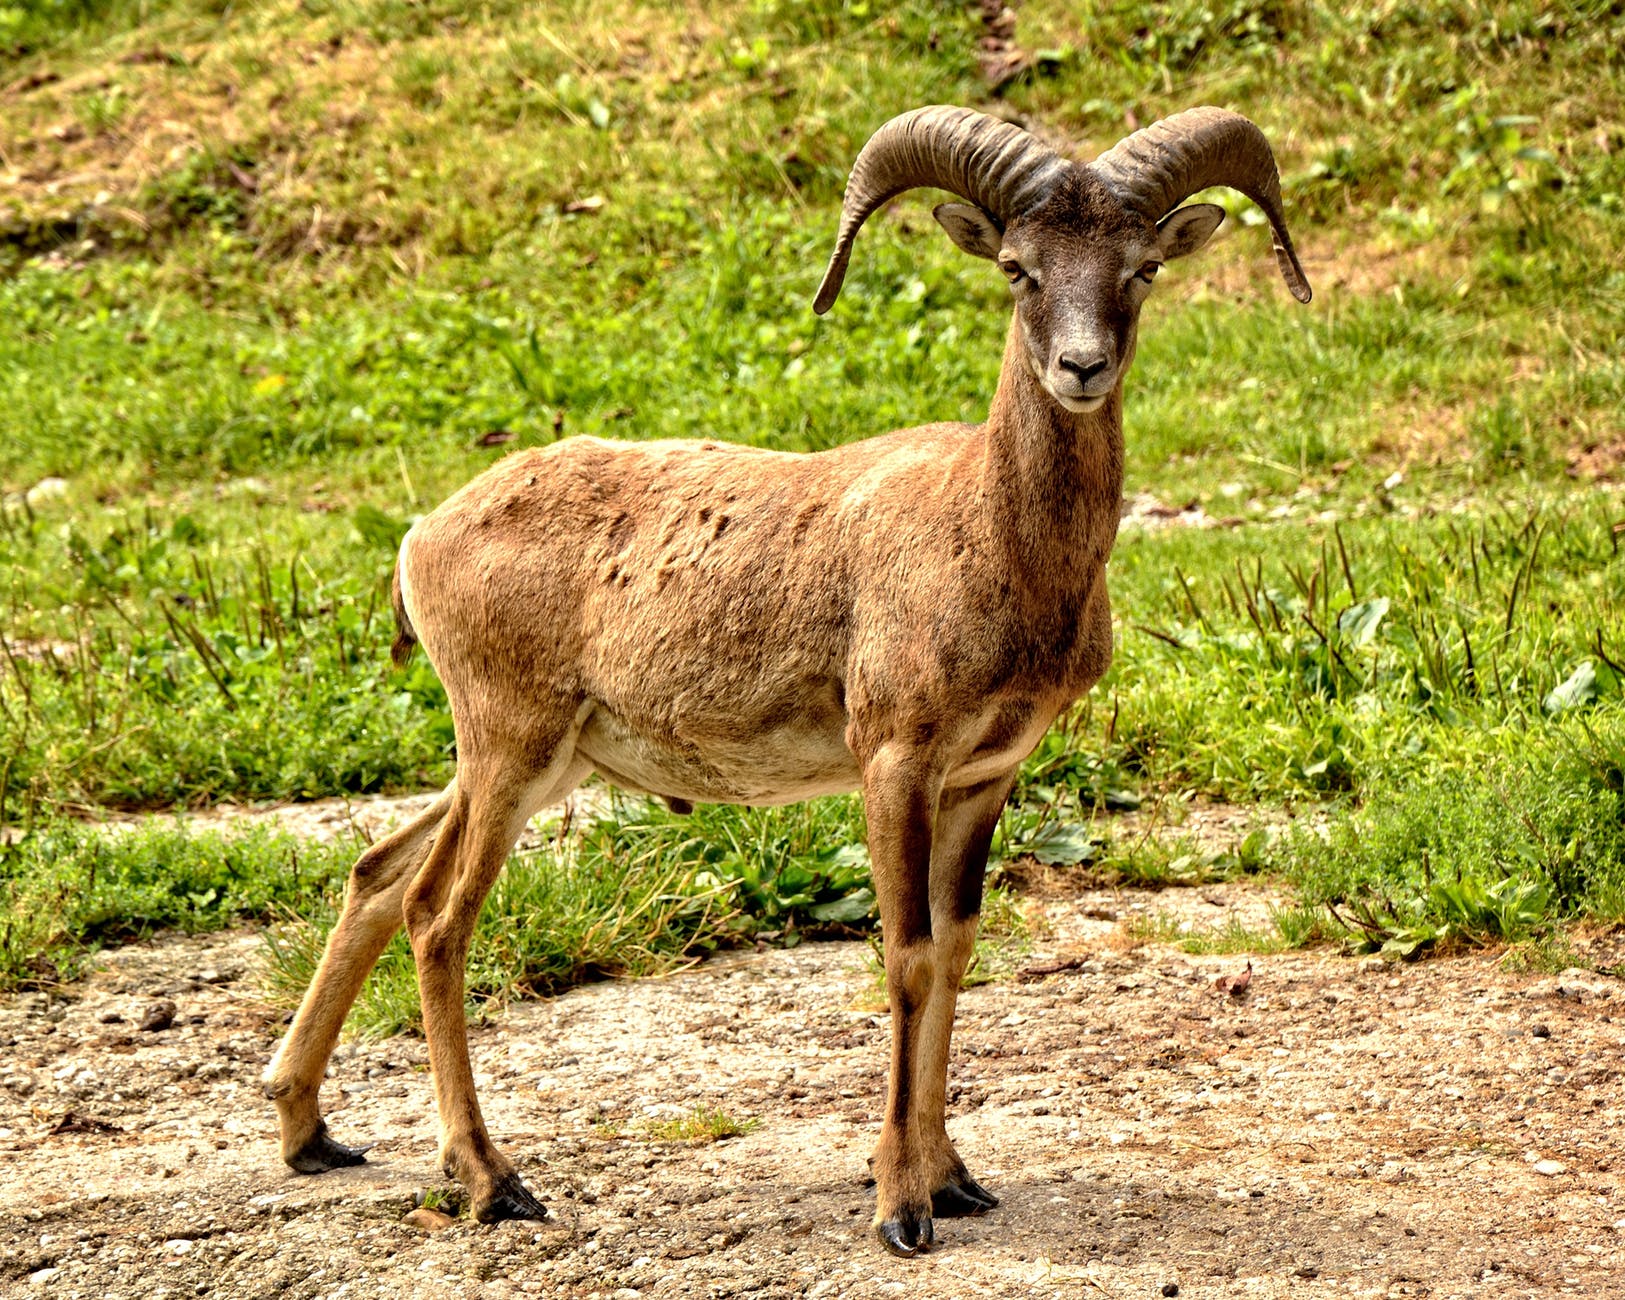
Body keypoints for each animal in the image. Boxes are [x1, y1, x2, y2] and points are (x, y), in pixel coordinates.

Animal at [263, 103, 1310, 1257]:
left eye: (1139, 269)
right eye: (1016, 267)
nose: (1080, 368)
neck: (987, 534)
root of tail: (421, 537)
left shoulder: (980, 780)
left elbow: (956, 952)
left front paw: (955, 1179)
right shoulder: (894, 762)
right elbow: (905, 958)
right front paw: (899, 1207)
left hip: (539, 760)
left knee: (377, 870)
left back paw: (309, 1130)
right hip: (507, 747)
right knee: (437, 916)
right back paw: (493, 1181)